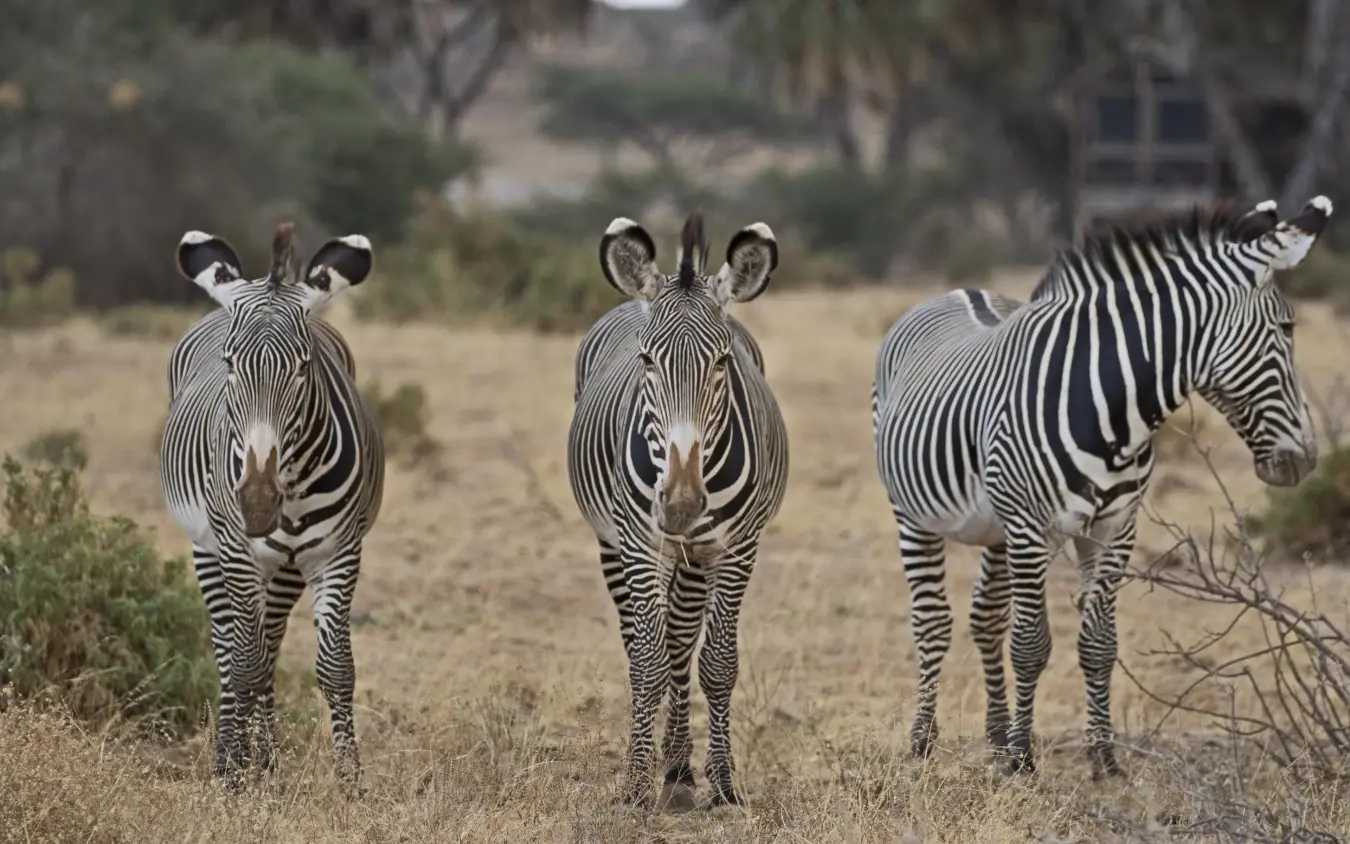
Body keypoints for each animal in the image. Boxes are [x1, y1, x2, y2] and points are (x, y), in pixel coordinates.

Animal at [159, 222, 384, 796]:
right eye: (230, 364)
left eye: (304, 367)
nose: (258, 502)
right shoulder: (238, 553)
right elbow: (243, 664)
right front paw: (239, 777)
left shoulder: (339, 552)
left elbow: (335, 667)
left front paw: (349, 782)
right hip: (208, 548)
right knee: (228, 647)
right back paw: (232, 759)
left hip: (285, 567)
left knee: (269, 644)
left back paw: (267, 757)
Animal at [567, 213, 789, 807]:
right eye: (647, 360)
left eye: (723, 362)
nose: (683, 503)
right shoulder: (639, 543)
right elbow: (647, 662)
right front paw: (634, 785)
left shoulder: (736, 548)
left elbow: (716, 662)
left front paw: (722, 782)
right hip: (614, 544)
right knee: (645, 643)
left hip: (694, 557)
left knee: (682, 641)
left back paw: (679, 769)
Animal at [871, 195, 1333, 778]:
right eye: (1288, 328)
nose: (1306, 460)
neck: (1113, 413)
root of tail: (958, 290)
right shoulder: (1031, 528)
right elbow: (1031, 643)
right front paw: (1022, 760)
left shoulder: (1114, 529)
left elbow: (1098, 643)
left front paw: (1103, 757)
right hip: (913, 514)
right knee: (933, 621)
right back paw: (923, 739)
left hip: (997, 528)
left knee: (986, 619)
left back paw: (995, 735)